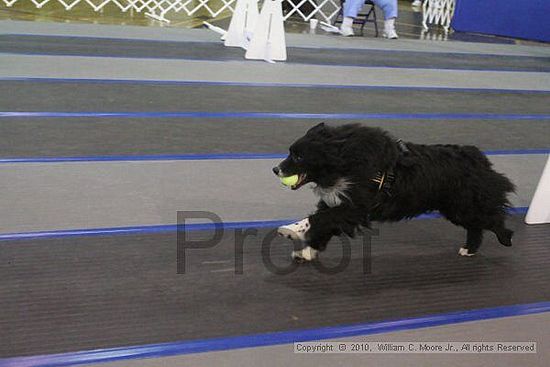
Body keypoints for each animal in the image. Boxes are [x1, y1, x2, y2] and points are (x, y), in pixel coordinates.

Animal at [274, 123, 516, 262]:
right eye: (290, 152)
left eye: (298, 156)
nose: (275, 169)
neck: (344, 162)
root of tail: (480, 159)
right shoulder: (337, 202)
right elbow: (322, 224)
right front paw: (307, 252)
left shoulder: (354, 207)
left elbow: (318, 219)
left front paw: (290, 230)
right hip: (456, 208)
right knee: (476, 226)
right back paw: (469, 249)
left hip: (464, 204)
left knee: (492, 218)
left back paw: (506, 238)